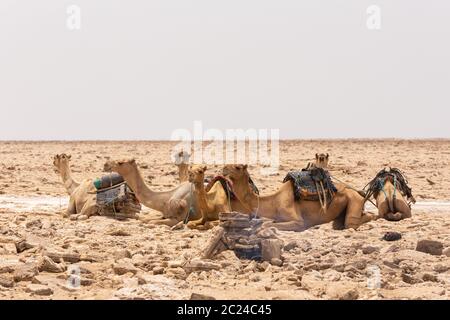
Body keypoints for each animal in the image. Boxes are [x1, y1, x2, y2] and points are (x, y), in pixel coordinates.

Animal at [221, 164, 372, 231]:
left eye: (238, 167)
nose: (224, 168)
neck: (273, 202)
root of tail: (359, 192)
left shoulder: (298, 221)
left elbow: (267, 224)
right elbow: (267, 222)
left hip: (354, 200)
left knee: (353, 222)